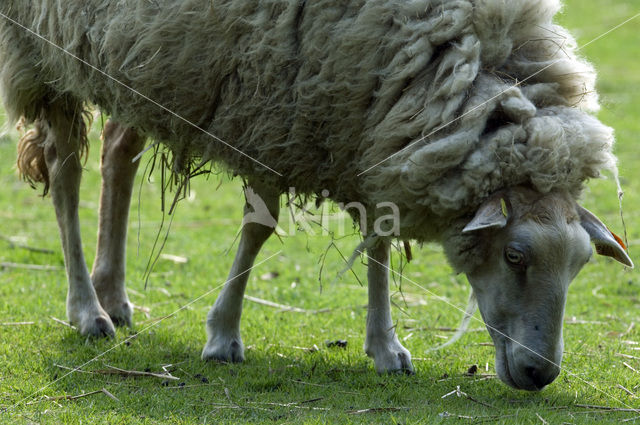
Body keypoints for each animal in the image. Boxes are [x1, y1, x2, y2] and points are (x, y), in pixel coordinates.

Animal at [0, 0, 632, 390]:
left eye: (580, 265)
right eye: (515, 255)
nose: (541, 374)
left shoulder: (371, 131)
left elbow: (379, 243)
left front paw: (386, 347)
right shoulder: (271, 108)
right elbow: (260, 229)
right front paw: (223, 335)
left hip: (134, 64)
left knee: (118, 154)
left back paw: (113, 293)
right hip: (45, 51)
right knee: (65, 171)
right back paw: (88, 310)